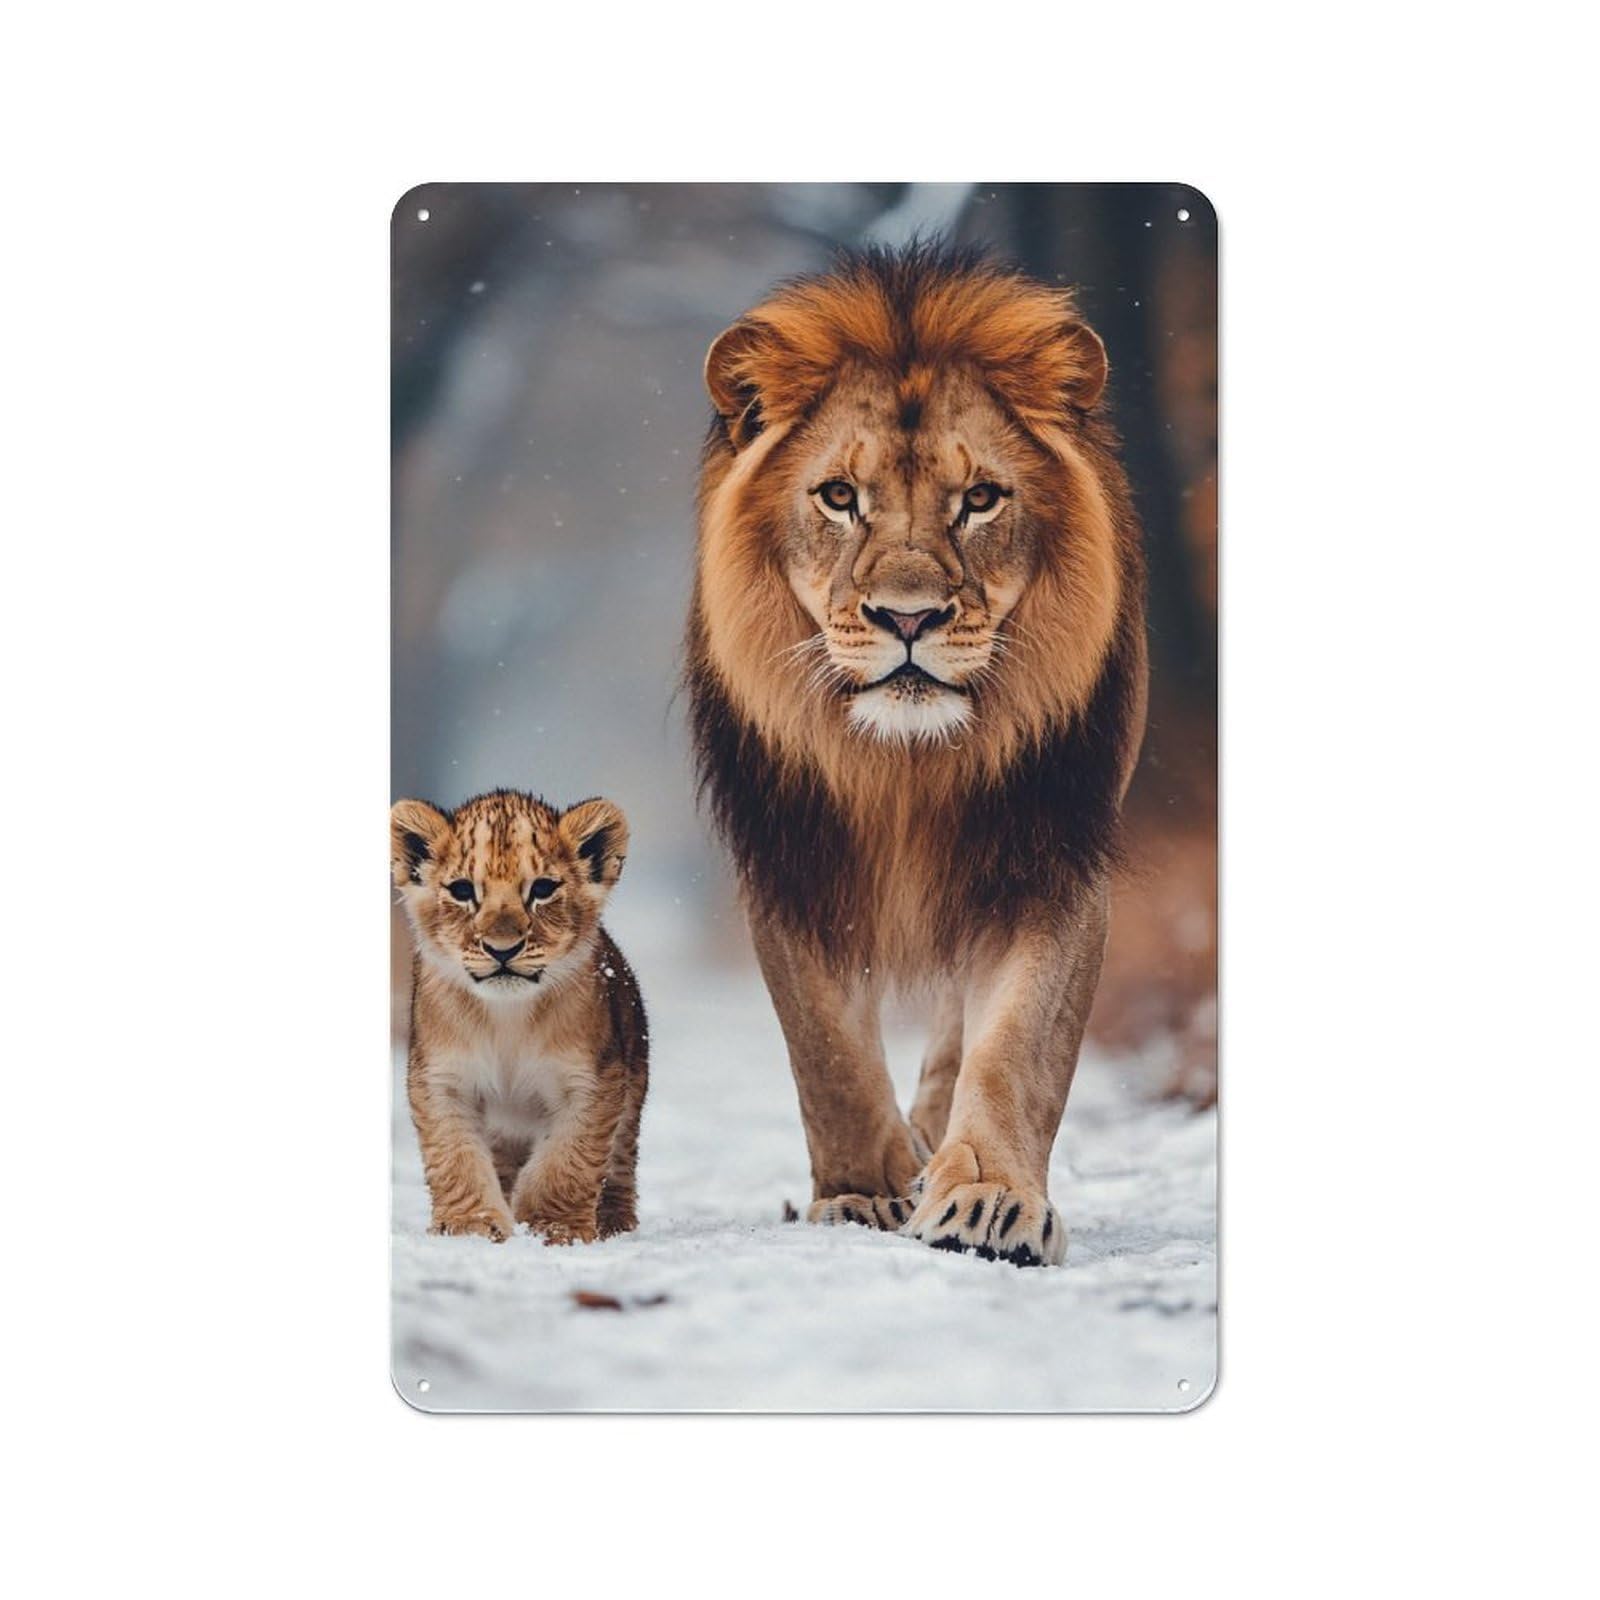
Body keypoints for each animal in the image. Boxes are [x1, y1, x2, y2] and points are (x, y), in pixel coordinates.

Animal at [390, 789, 647, 1244]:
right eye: (462, 890)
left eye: (542, 889)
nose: (502, 949)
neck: (506, 1018)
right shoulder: (441, 1080)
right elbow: (455, 1158)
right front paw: (470, 1226)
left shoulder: (593, 1082)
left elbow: (568, 1162)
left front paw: (554, 1227)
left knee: (619, 1162)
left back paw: (614, 1223)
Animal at [687, 243, 1147, 1266]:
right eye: (838, 497)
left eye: (979, 500)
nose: (908, 618)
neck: (906, 766)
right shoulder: (789, 857)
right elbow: (825, 1051)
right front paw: (863, 1191)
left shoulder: (1051, 854)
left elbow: (1017, 1046)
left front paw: (986, 1198)